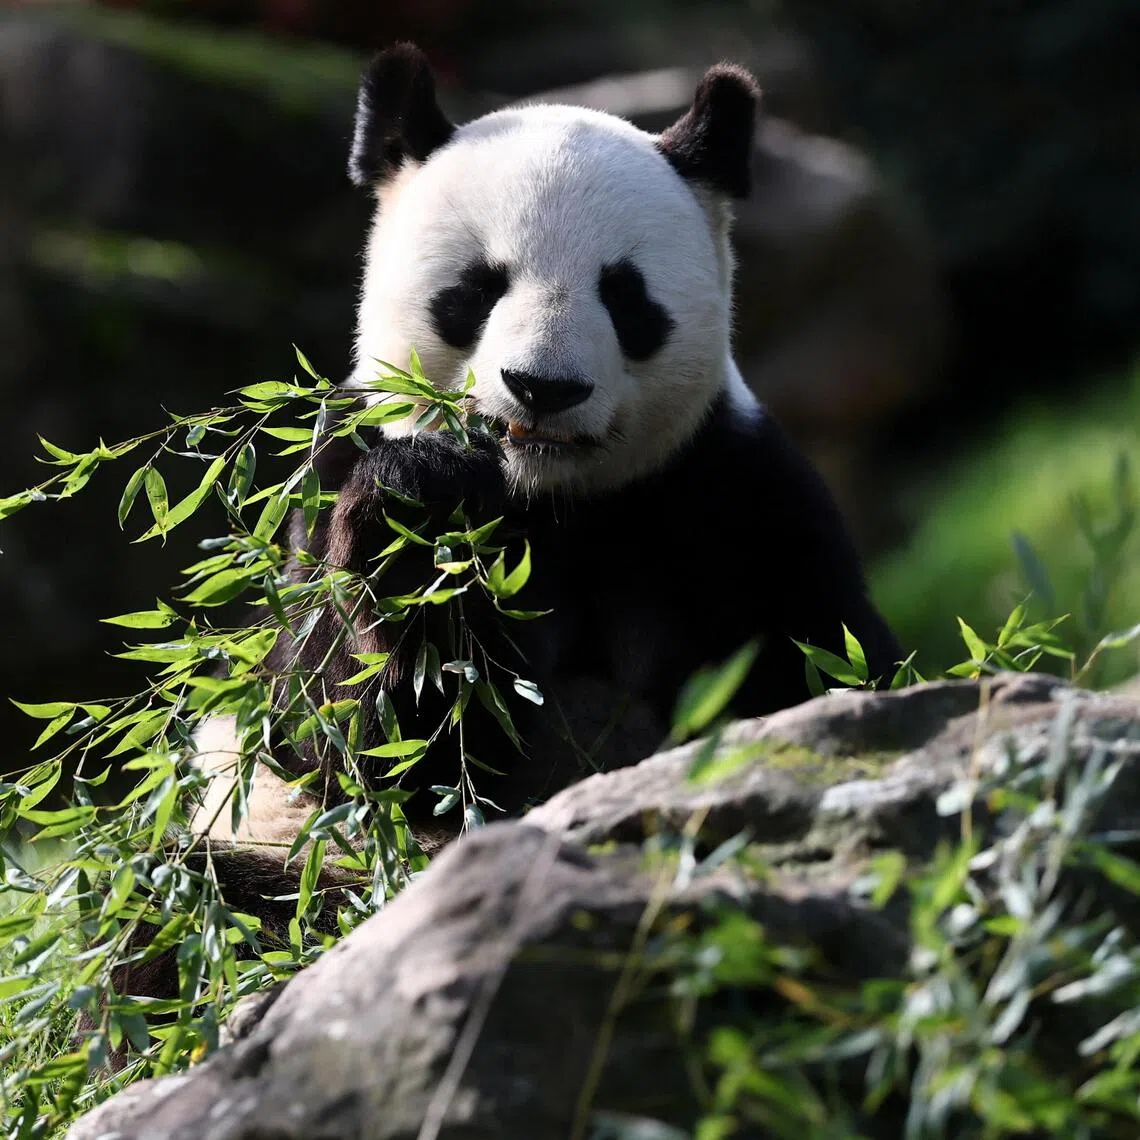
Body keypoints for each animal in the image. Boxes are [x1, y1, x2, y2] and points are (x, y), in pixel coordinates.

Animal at [93, 43, 901, 1048]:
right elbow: (357, 733)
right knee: (175, 908)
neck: (548, 499)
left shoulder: (737, 501)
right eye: (475, 290)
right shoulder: (333, 468)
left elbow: (823, 675)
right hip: (282, 851)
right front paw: (419, 511)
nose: (542, 388)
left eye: (626, 297)